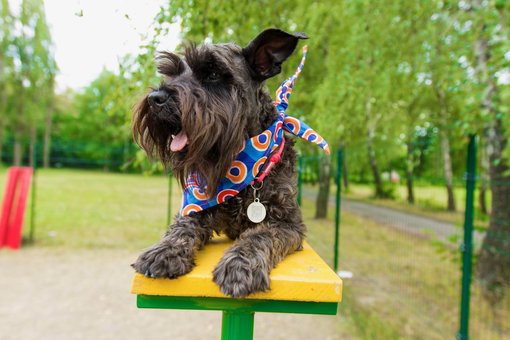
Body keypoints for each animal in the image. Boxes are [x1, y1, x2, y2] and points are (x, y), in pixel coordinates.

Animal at [131, 28, 328, 298]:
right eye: (172, 73)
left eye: (213, 74)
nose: (155, 98)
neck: (241, 167)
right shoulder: (195, 207)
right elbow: (181, 227)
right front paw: (165, 250)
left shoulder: (289, 224)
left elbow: (259, 235)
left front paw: (240, 266)